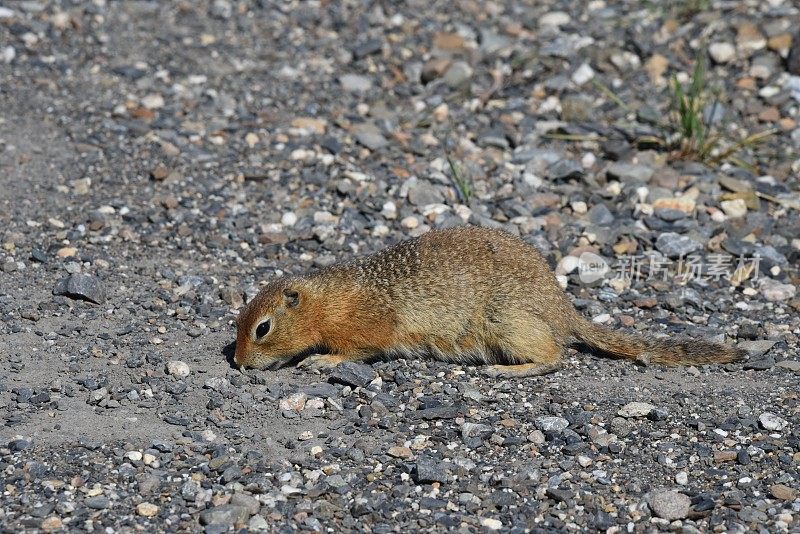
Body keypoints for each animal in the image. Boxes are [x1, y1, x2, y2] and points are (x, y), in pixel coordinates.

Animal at [234, 225, 748, 376]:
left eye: (262, 328)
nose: (237, 362)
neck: (326, 301)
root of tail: (565, 310)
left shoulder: (367, 325)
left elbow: (358, 350)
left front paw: (321, 361)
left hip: (508, 322)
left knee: (555, 357)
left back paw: (509, 371)